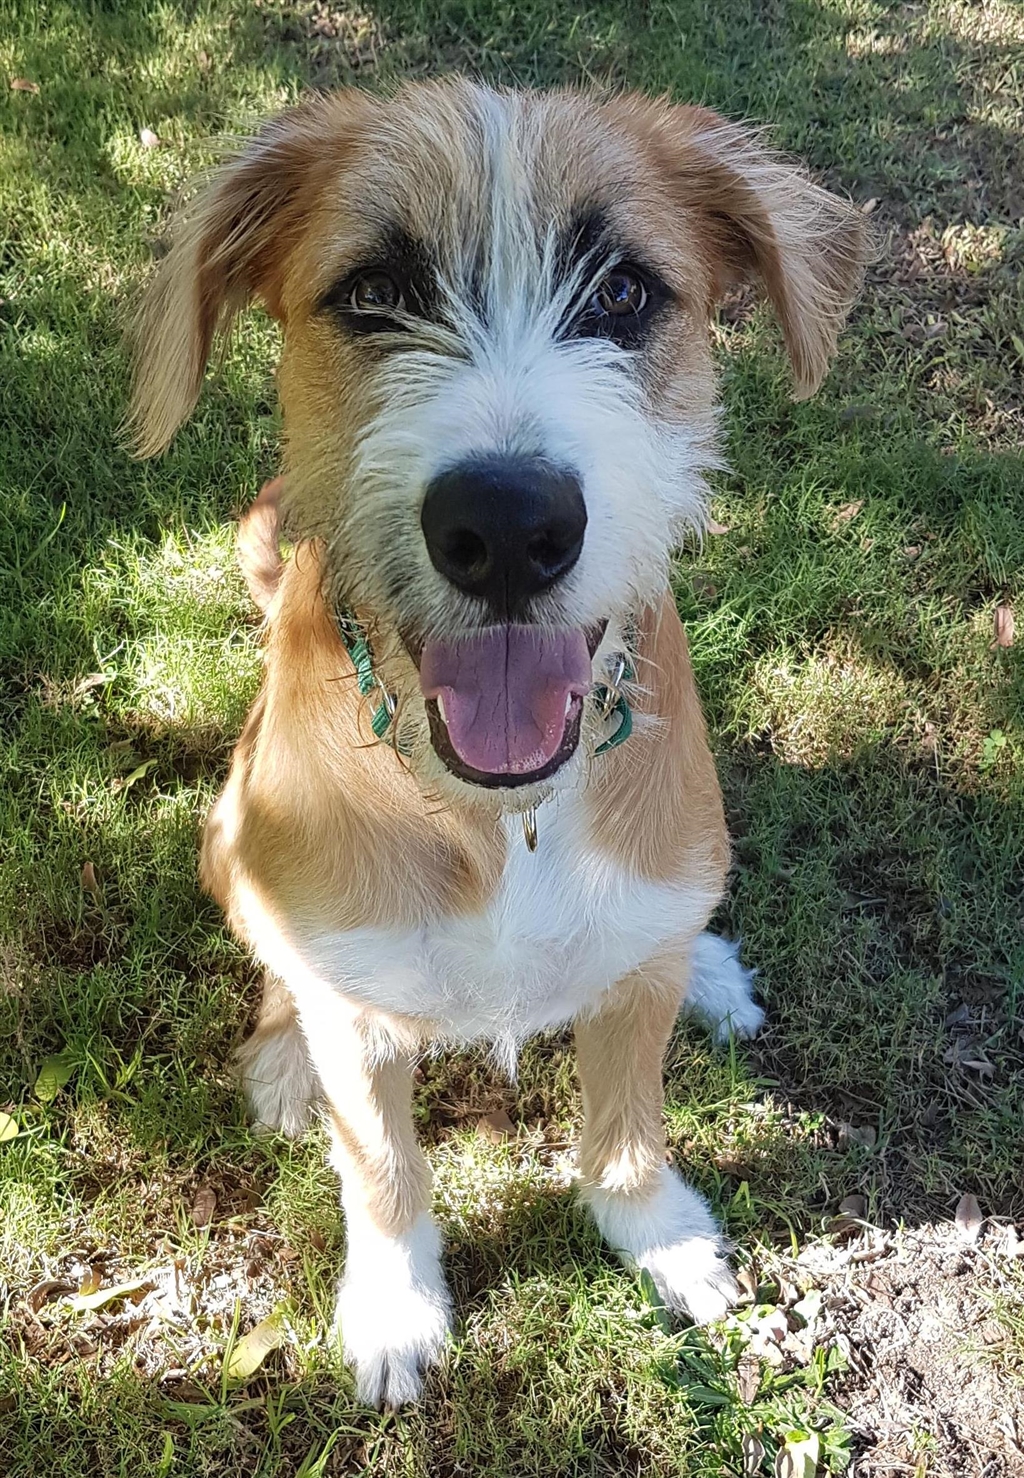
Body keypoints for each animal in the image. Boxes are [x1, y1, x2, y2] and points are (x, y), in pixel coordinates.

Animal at [130, 75, 862, 1401]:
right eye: (373, 291)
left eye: (622, 293)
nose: (509, 525)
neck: (499, 816)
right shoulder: (362, 1022)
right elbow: (382, 1167)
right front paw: (393, 1306)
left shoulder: (629, 982)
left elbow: (626, 1120)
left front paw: (659, 1234)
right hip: (226, 836)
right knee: (273, 958)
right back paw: (279, 1053)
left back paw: (705, 967)